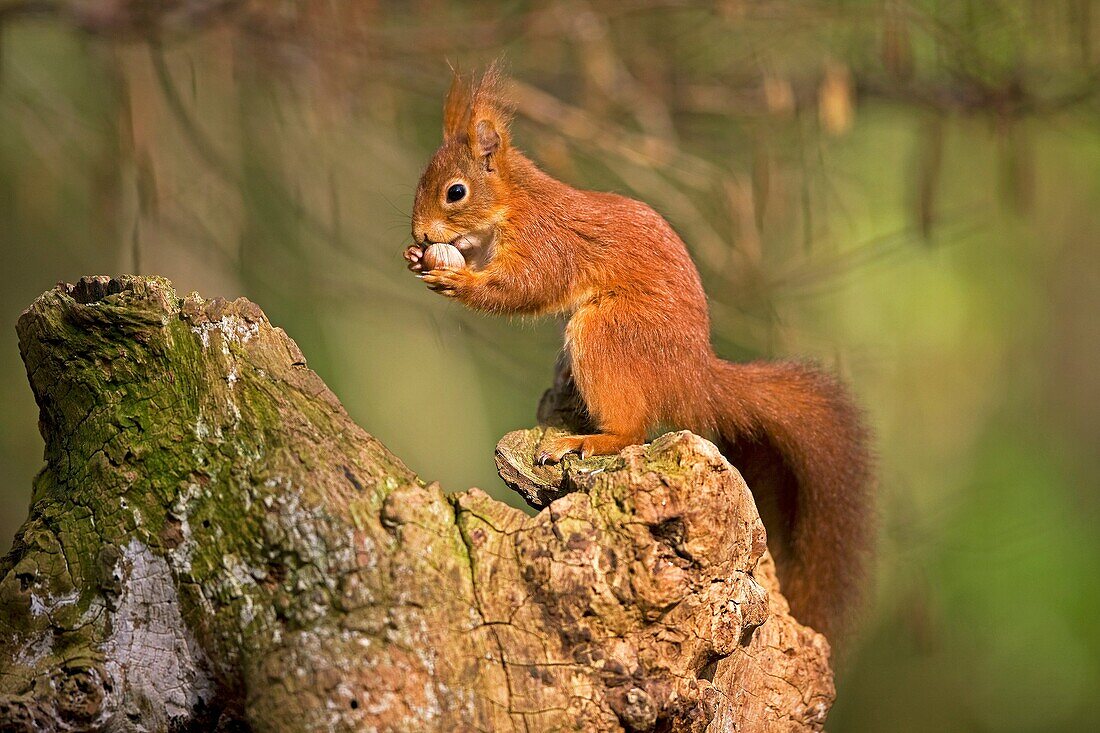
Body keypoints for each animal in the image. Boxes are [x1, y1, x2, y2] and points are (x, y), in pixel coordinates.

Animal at [407, 67, 875, 638]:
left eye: (456, 192)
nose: (419, 233)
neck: (515, 202)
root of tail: (693, 377)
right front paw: (423, 257)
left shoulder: (546, 243)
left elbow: (522, 288)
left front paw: (457, 278)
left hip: (607, 335)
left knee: (632, 430)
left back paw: (584, 441)